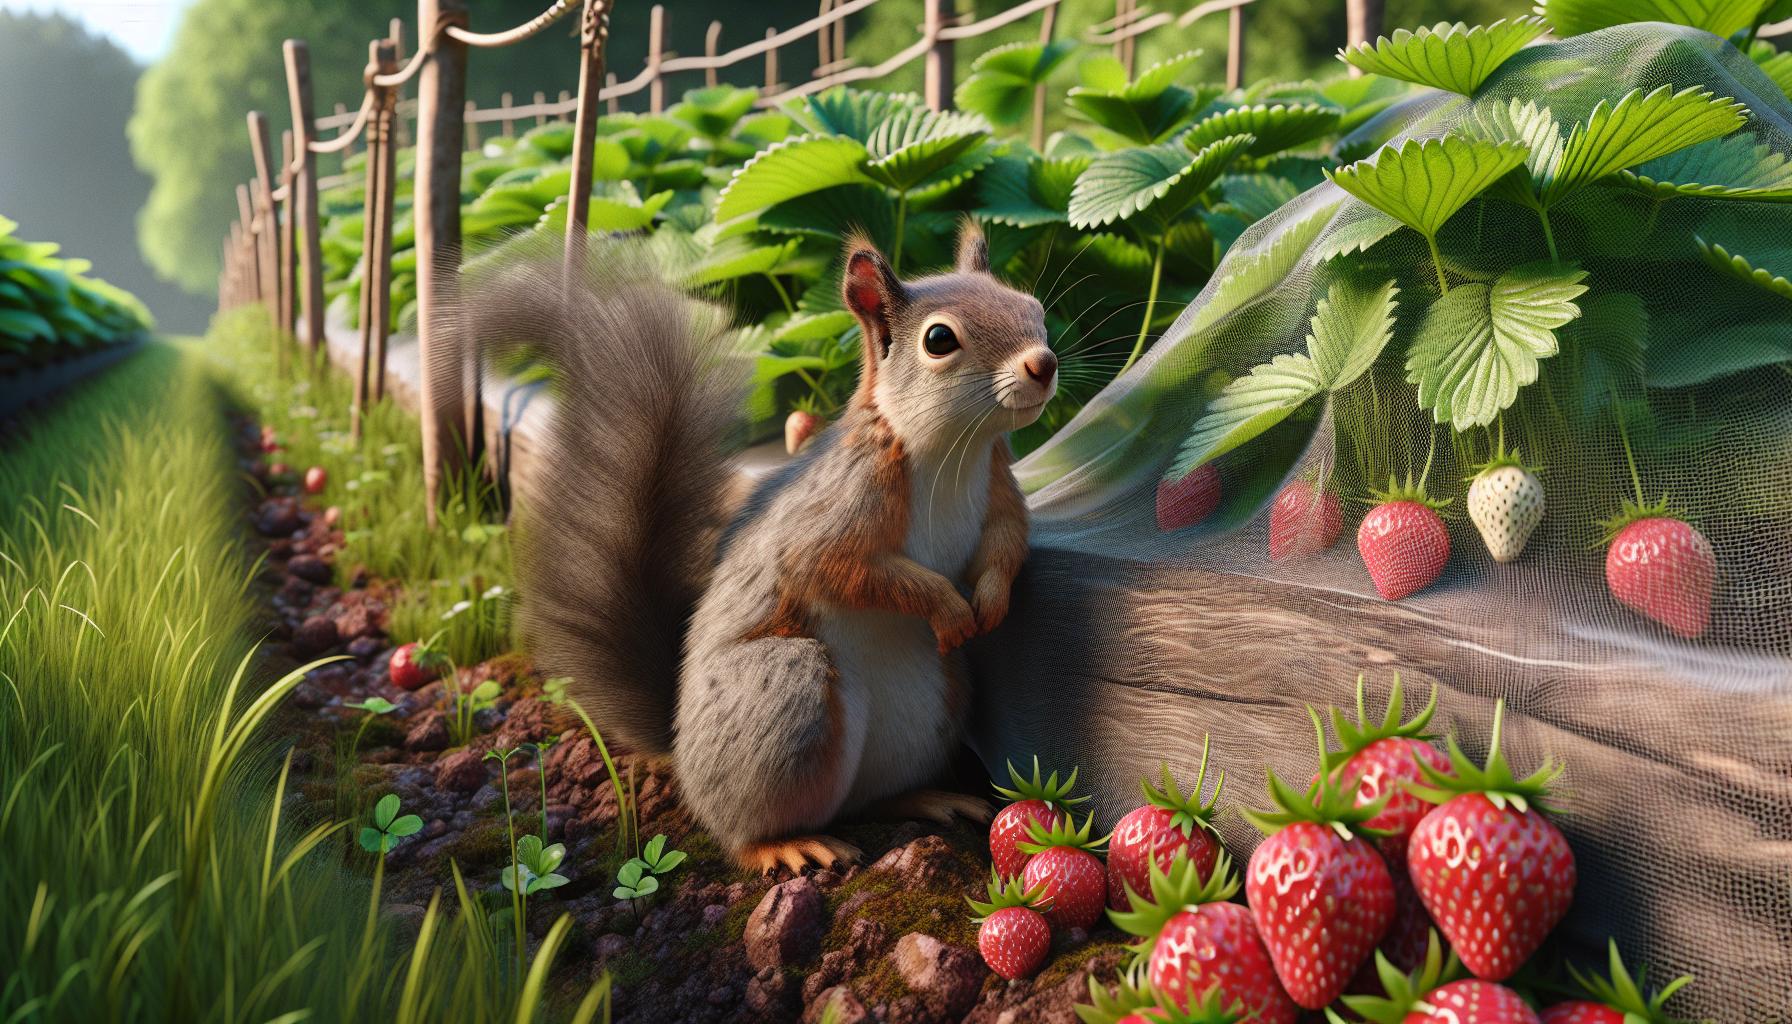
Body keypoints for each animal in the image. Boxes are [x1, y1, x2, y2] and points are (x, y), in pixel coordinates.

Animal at [462, 223, 1056, 873]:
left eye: (1032, 307)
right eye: (940, 339)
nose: (1044, 363)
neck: (955, 450)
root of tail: (679, 748)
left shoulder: (999, 487)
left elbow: (1005, 546)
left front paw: (991, 601)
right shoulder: (838, 508)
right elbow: (839, 567)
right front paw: (947, 606)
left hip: (937, 705)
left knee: (870, 799)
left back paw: (926, 797)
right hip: (784, 694)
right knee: (747, 828)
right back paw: (785, 843)